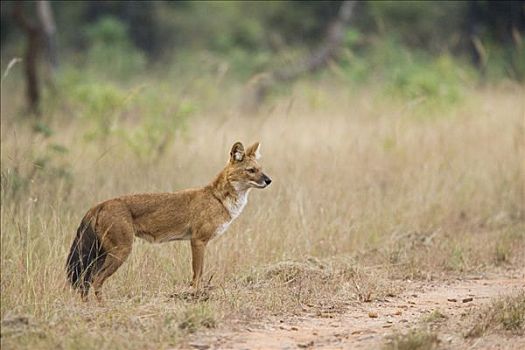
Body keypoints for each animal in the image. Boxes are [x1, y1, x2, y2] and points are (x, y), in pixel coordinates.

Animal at [65, 142, 270, 300]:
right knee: (95, 280)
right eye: (251, 170)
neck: (218, 199)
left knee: (85, 281)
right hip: (120, 251)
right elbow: (197, 274)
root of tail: (98, 205)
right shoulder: (198, 241)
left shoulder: (199, 242)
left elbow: (199, 273)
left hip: (101, 254)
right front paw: (196, 296)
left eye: (261, 169)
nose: (269, 180)